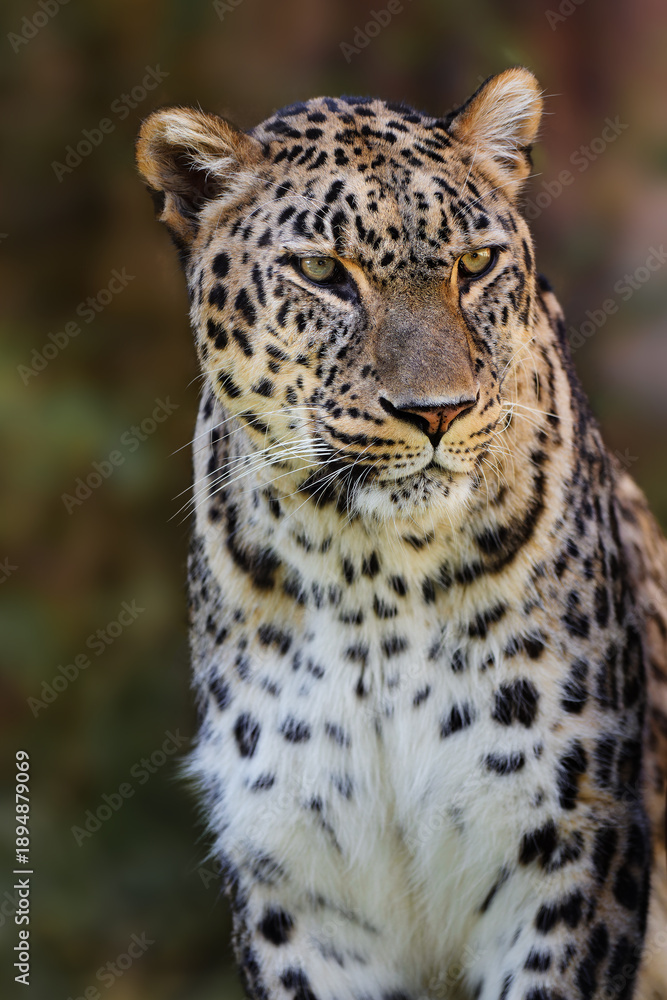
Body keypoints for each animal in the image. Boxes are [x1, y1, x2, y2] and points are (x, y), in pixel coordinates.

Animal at [136, 68, 667, 1000]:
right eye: (322, 271)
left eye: (475, 264)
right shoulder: (298, 884)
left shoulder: (571, 850)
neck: (371, 578)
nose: (438, 411)